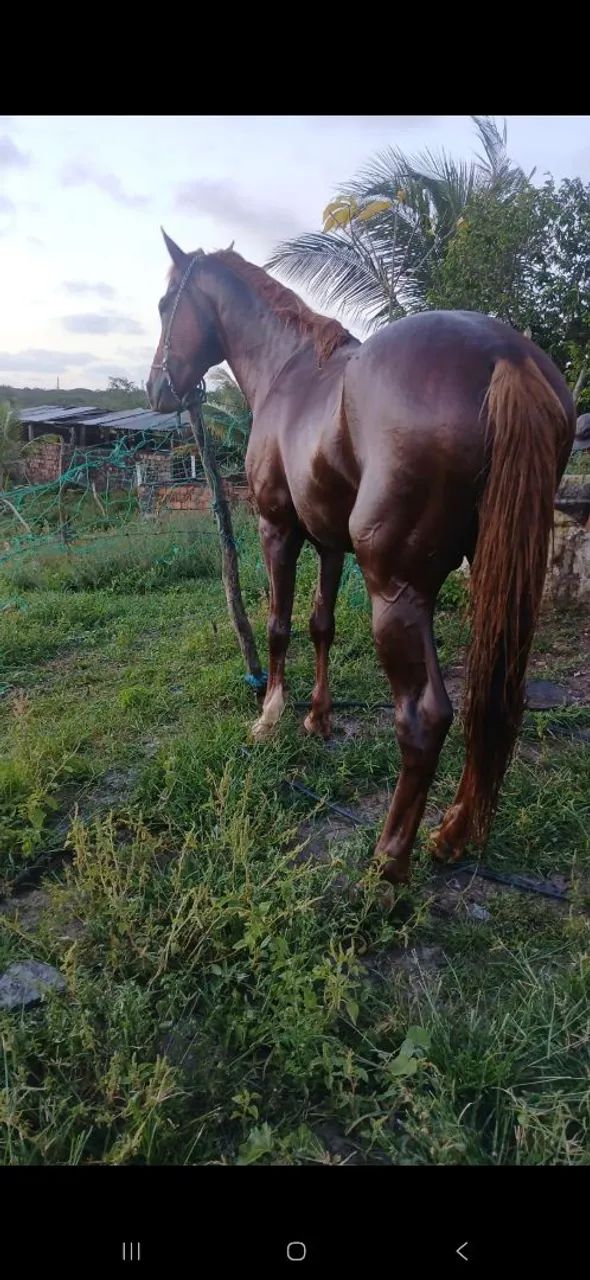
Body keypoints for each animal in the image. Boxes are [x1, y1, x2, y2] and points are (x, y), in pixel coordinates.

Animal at [147, 231, 575, 884]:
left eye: (166, 303)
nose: (156, 389)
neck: (289, 369)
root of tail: (507, 358)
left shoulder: (279, 529)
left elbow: (279, 625)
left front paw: (270, 716)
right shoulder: (328, 542)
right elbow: (321, 625)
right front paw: (318, 719)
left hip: (395, 589)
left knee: (426, 718)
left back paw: (388, 864)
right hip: (502, 578)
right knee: (500, 700)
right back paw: (453, 835)